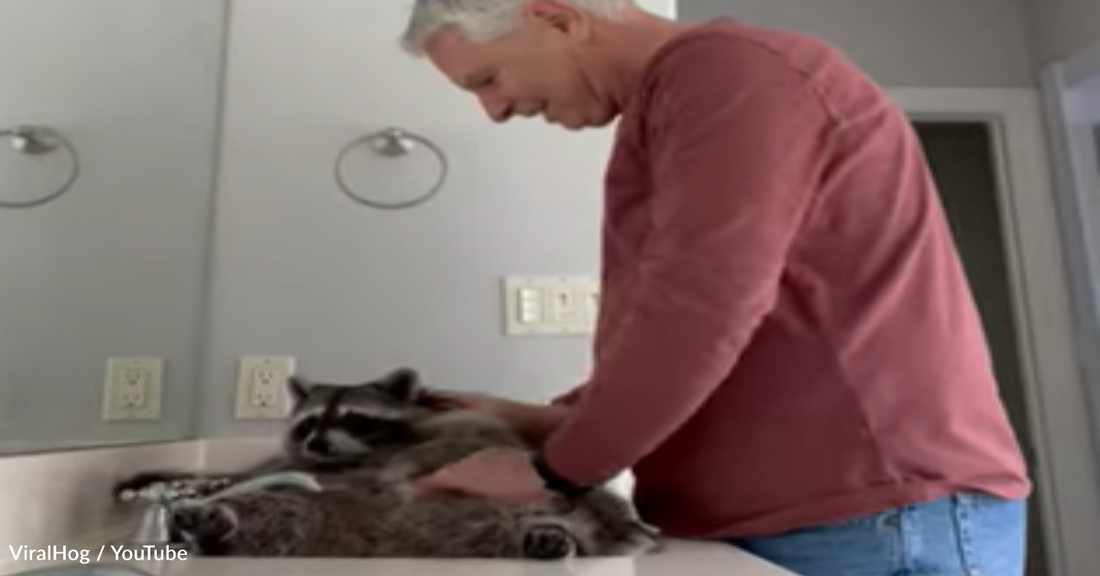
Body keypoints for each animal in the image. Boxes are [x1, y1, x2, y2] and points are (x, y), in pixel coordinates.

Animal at [113, 367, 662, 560]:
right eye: (309, 423)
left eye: (351, 416)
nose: (318, 447)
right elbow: (252, 476)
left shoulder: (453, 428)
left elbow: (469, 442)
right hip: (308, 514)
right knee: (279, 508)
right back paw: (214, 524)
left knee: (592, 513)